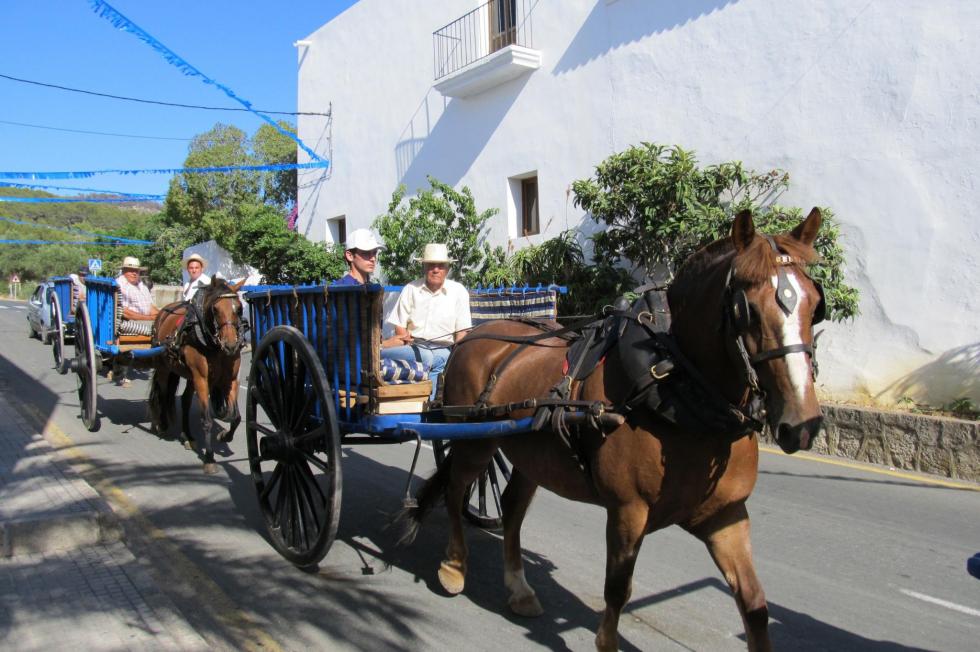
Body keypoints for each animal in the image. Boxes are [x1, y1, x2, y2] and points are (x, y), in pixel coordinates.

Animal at [152, 276, 249, 474]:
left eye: (239, 308)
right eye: (215, 309)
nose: (230, 345)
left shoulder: (230, 379)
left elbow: (235, 417)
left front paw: (224, 436)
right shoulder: (202, 380)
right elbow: (207, 420)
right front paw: (210, 458)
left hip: (190, 377)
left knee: (185, 401)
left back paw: (188, 436)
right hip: (165, 368)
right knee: (163, 393)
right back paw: (163, 424)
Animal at [402, 210, 824, 652]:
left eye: (816, 305)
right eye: (748, 310)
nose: (802, 424)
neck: (676, 388)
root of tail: (474, 336)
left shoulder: (726, 516)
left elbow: (755, 605)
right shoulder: (627, 511)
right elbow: (617, 590)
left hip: (533, 455)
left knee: (513, 508)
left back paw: (518, 588)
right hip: (476, 441)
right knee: (455, 490)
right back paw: (453, 566)